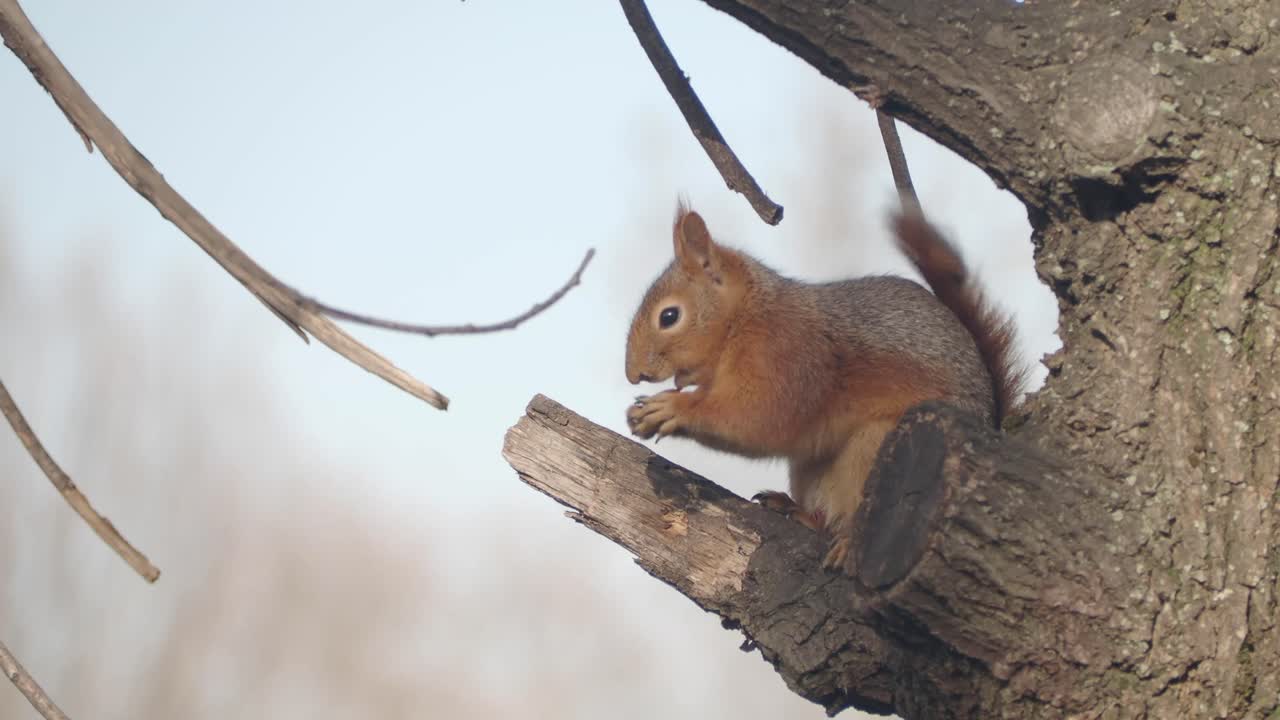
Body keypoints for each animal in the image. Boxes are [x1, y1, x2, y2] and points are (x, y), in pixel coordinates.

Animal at [625, 202, 1024, 569]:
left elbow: (758, 419)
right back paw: (795, 509)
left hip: (878, 446)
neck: (746, 317)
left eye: (669, 316)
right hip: (811, 469)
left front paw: (671, 408)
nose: (632, 374)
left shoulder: (789, 354)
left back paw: (847, 542)